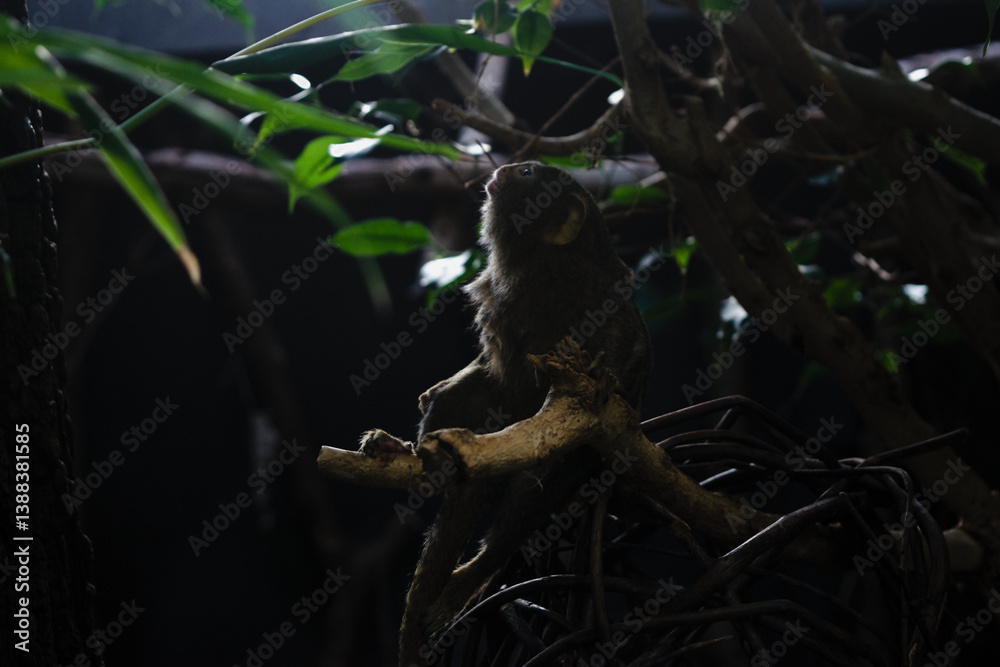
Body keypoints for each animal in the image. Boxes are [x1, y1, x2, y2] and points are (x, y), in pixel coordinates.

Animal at [360, 161, 651, 665]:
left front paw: (609, 376)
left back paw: (473, 575)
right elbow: (482, 367)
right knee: (468, 403)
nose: (502, 170)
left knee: (547, 482)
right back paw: (417, 457)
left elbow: (627, 343)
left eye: (529, 173)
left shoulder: (598, 293)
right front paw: (430, 399)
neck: (544, 264)